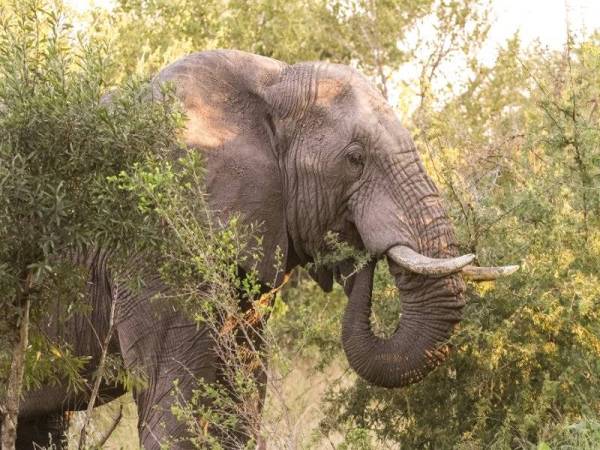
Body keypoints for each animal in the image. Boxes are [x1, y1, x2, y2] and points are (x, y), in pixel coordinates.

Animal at [9, 49, 516, 446]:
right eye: (355, 160)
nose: (360, 257)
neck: (270, 83)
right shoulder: (156, 233)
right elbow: (173, 390)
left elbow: (245, 384)